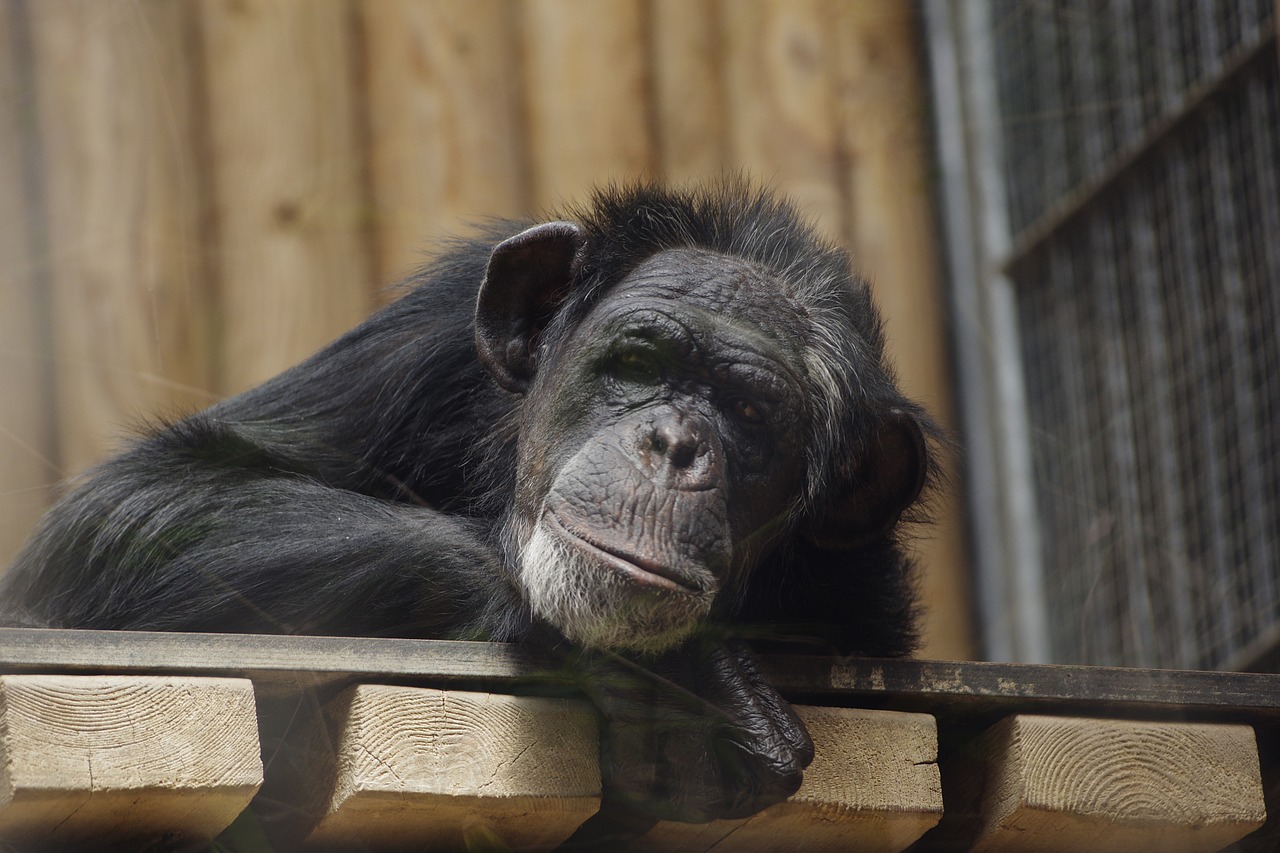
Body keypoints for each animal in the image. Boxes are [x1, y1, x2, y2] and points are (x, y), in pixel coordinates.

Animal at [0, 180, 942, 829]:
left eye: (749, 413)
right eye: (639, 363)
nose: (675, 443)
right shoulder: (433, 331)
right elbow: (145, 497)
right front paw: (685, 680)